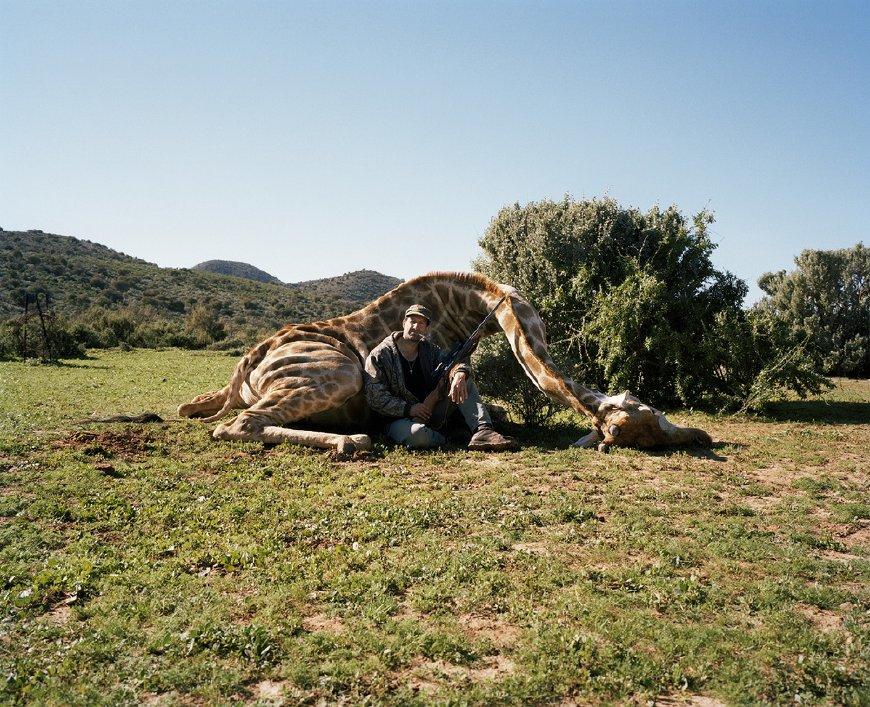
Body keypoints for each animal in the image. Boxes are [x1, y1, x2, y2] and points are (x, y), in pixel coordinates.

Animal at [179, 272, 716, 454]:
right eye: (648, 414)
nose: (703, 437)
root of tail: (247, 363)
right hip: (340, 371)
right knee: (236, 425)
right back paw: (351, 441)